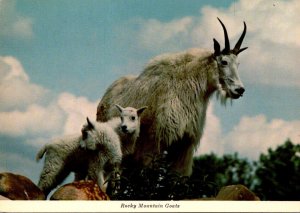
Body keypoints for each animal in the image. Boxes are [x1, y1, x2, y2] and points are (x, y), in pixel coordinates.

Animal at [96, 17, 248, 176]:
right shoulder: (155, 144)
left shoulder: (184, 147)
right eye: (224, 62)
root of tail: (104, 99)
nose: (239, 90)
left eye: (237, 63)